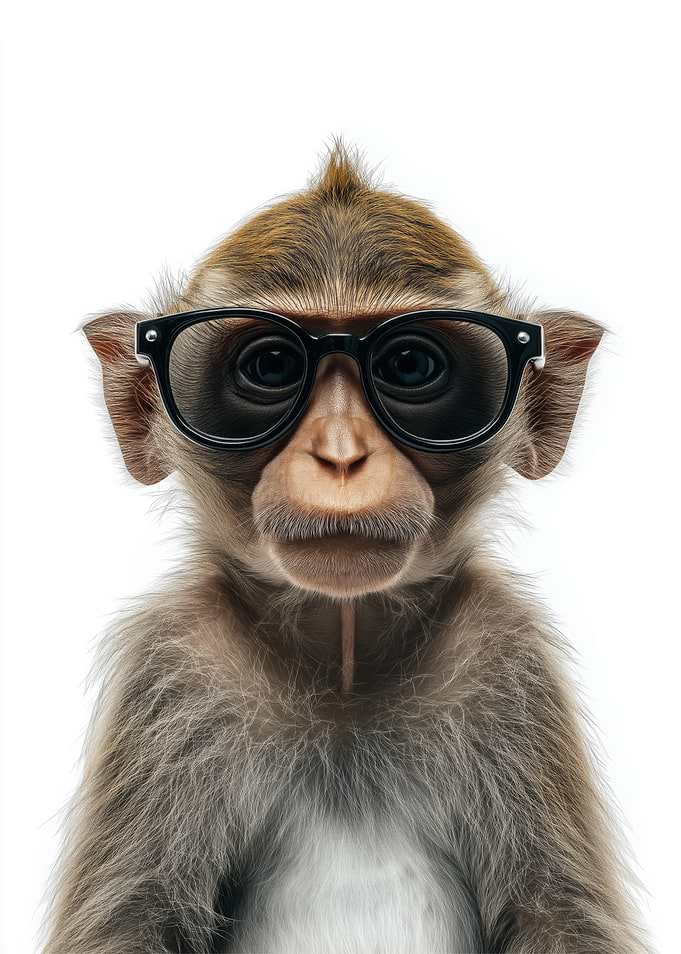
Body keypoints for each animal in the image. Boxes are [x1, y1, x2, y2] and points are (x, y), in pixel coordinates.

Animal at [40, 143, 653, 954]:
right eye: (270, 366)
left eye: (409, 366)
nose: (339, 454)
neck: (343, 665)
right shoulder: (175, 668)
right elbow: (131, 922)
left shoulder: (504, 656)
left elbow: (557, 916)